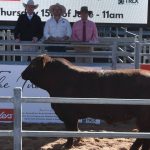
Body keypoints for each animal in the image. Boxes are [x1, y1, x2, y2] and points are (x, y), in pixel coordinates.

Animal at [21, 54, 150, 149]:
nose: (22, 74)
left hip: (143, 117)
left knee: (144, 135)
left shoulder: (68, 115)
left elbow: (70, 131)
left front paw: (67, 145)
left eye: (33, 65)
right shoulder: (72, 116)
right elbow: (75, 129)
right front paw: (78, 139)